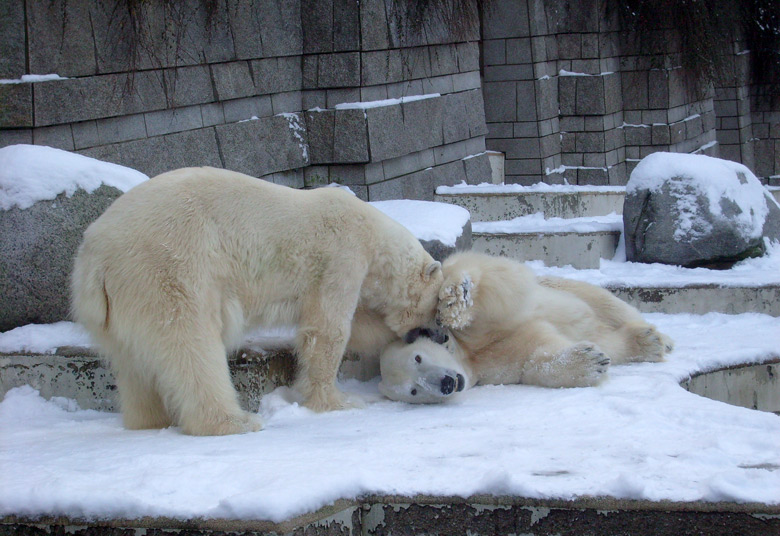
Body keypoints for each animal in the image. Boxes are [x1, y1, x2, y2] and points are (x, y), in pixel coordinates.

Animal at [71, 168, 444, 436]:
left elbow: (359, 325)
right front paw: (339, 402)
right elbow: (327, 330)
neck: (373, 234)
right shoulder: (341, 257)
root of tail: (94, 255)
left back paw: (148, 421)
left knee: (133, 362)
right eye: (436, 310)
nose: (437, 335)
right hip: (167, 267)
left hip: (122, 300)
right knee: (191, 345)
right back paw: (232, 422)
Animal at [378, 251, 672, 402]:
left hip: (568, 288)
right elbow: (536, 358)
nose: (446, 384)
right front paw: (591, 361)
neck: (468, 355)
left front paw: (455, 299)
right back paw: (647, 343)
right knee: (608, 338)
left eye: (418, 357)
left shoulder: (478, 330)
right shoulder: (496, 366)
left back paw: (660, 339)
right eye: (413, 391)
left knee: (609, 304)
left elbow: (500, 283)